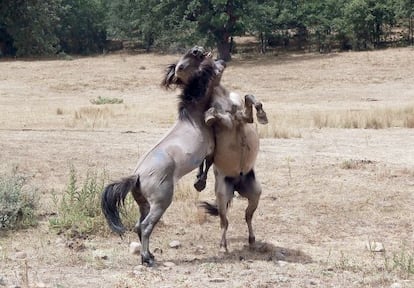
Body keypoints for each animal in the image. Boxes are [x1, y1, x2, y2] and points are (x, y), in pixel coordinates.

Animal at [100, 53, 218, 266]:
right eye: (183, 64)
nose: (198, 50)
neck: (193, 117)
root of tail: (137, 176)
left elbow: (203, 168)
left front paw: (199, 182)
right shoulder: (210, 150)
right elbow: (207, 165)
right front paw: (200, 183)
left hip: (144, 204)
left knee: (139, 226)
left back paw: (149, 255)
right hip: (160, 203)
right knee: (146, 226)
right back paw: (147, 259)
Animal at [163, 47, 268, 252]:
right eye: (180, 67)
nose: (197, 50)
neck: (223, 97)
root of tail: (236, 183)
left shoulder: (242, 115)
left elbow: (248, 99)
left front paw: (262, 115)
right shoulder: (226, 122)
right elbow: (217, 115)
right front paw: (211, 116)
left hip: (255, 193)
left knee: (247, 216)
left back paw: (252, 240)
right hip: (221, 195)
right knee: (224, 221)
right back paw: (223, 245)